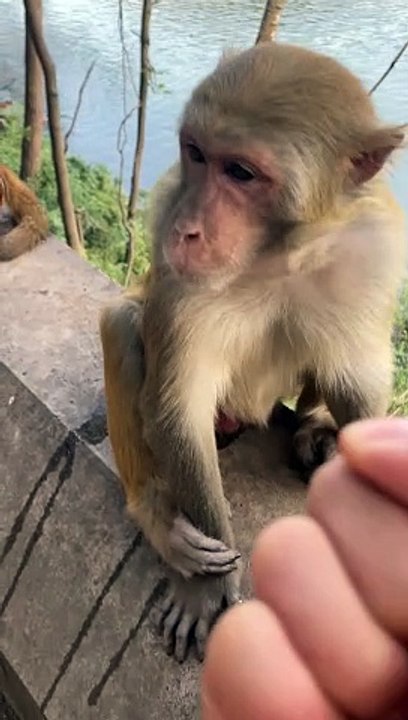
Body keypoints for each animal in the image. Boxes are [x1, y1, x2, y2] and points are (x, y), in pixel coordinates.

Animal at [100, 41, 407, 662]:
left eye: (241, 172)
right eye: (196, 153)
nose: (187, 229)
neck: (278, 252)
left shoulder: (374, 249)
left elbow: (357, 381)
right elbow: (177, 411)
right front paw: (206, 586)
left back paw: (315, 426)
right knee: (123, 324)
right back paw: (157, 514)